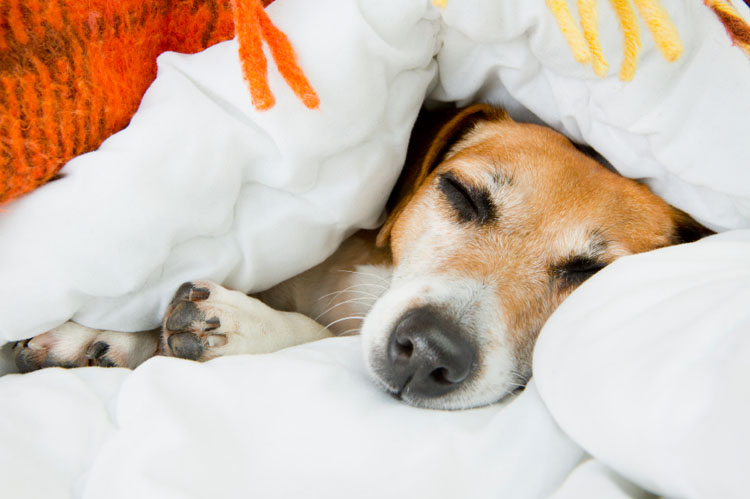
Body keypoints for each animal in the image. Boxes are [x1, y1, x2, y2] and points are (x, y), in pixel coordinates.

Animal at [14, 105, 712, 410]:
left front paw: (242, 325)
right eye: (462, 194)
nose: (430, 350)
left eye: (592, 276)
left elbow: (311, 334)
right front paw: (101, 335)